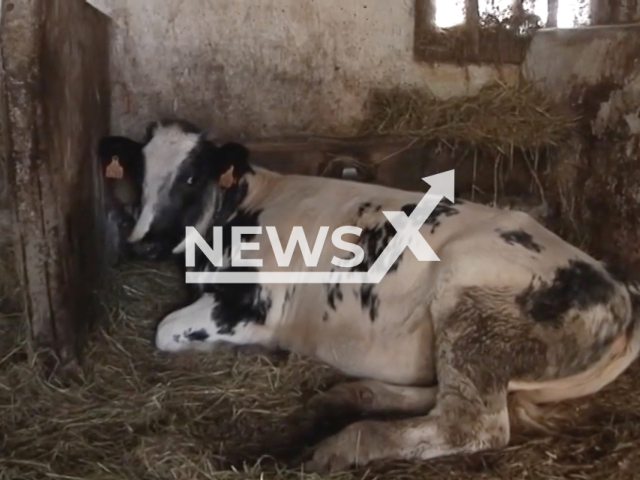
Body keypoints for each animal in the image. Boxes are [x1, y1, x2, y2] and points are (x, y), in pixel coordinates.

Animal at [97, 119, 640, 472]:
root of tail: (616, 286)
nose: (142, 241)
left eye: (190, 176)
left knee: (471, 424)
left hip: (473, 308)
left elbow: (165, 330)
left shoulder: (252, 306)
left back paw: (347, 443)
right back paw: (353, 396)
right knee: (447, 395)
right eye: (139, 175)